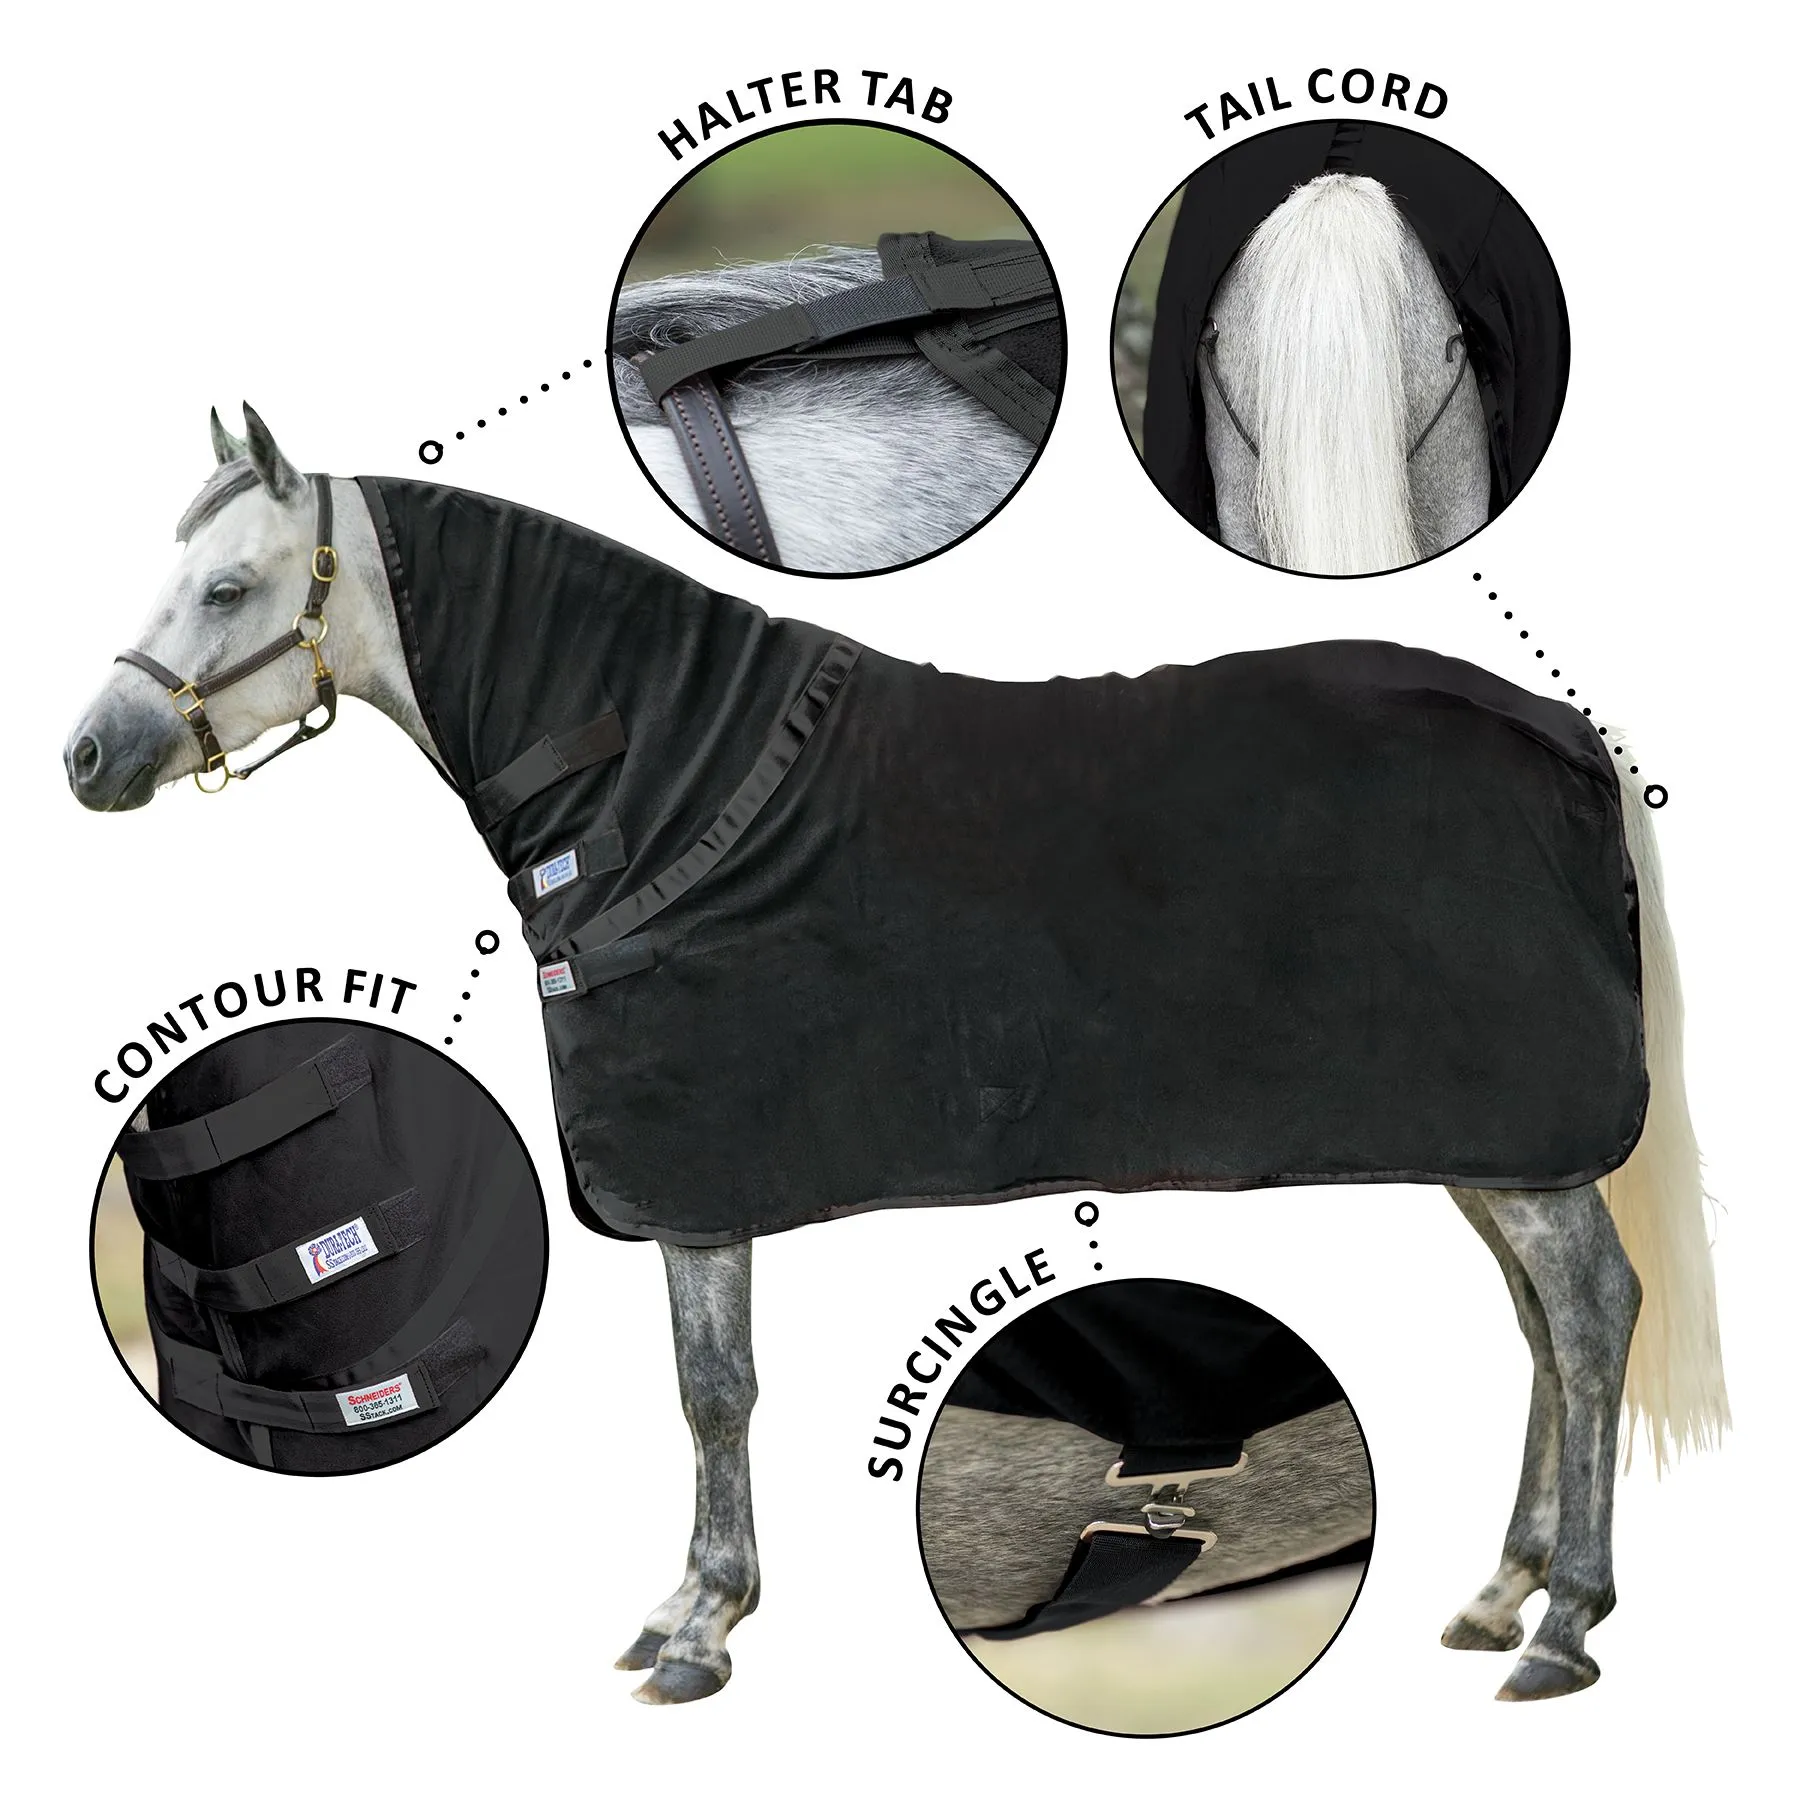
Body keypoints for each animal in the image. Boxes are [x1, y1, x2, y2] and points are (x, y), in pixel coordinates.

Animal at [64, 408, 1727, 1706]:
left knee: (1591, 1321)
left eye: (227, 584)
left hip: (1529, 1149)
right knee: (1545, 1332)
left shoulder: (698, 1184)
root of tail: (1561, 730)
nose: (88, 757)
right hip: (1493, 1149)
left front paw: (701, 1627)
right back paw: (1500, 1595)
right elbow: (710, 1389)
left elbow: (713, 1391)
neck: (668, 790)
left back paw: (1566, 1625)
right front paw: (695, 1607)